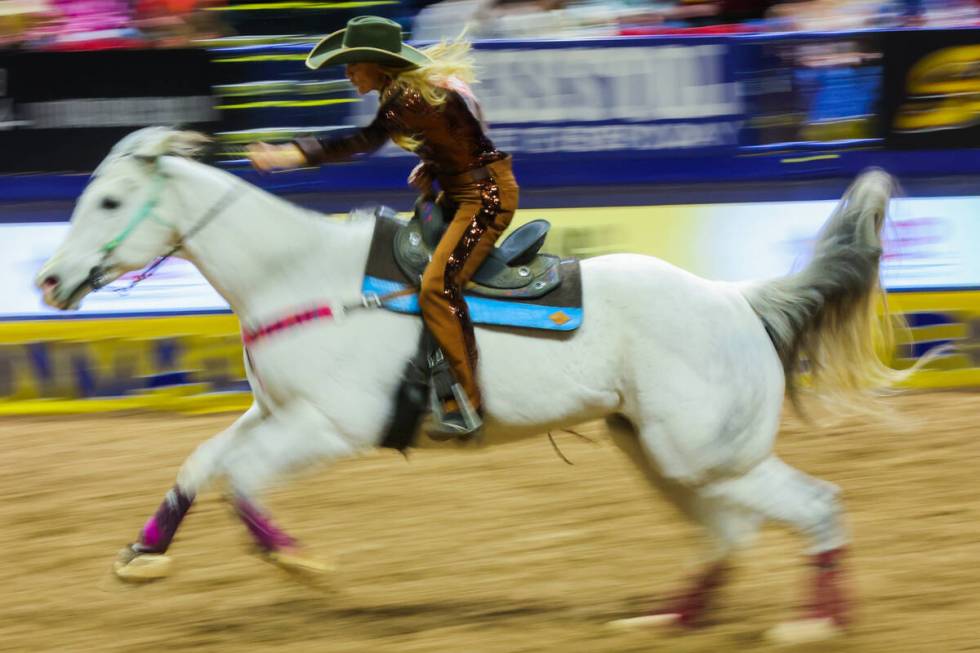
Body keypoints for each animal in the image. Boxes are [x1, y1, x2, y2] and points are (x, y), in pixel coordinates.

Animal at [34, 127, 900, 640]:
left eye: (110, 199)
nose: (48, 280)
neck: (294, 276)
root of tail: (739, 300)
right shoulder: (272, 412)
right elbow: (200, 464)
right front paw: (141, 555)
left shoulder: (327, 427)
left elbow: (240, 478)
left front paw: (299, 563)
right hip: (663, 451)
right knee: (730, 531)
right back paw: (666, 618)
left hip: (705, 453)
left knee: (816, 505)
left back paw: (816, 625)